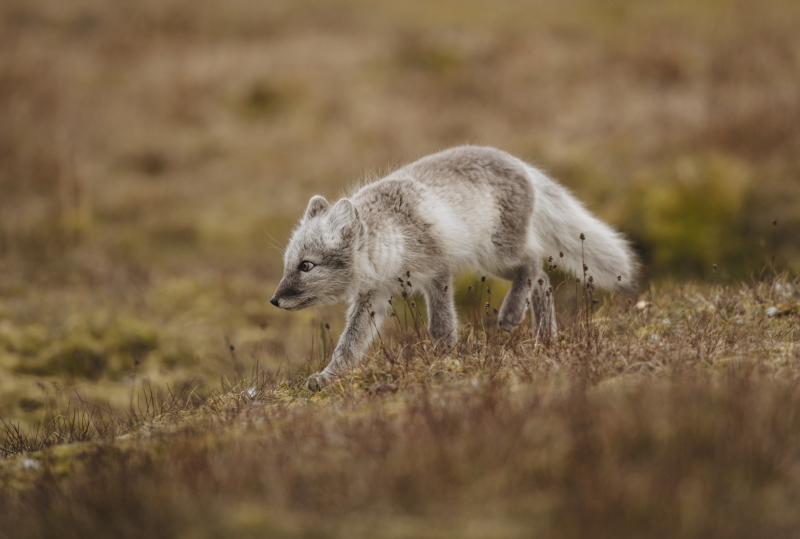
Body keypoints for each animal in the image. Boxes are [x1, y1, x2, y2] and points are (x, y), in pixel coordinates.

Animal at [270, 146, 636, 390]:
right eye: (288, 265)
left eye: (306, 265)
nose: (274, 300)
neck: (391, 238)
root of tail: (519, 162)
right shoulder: (373, 296)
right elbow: (349, 344)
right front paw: (328, 377)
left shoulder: (437, 274)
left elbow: (441, 325)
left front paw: (442, 359)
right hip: (492, 260)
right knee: (544, 279)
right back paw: (544, 337)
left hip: (497, 254)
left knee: (534, 264)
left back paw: (512, 315)